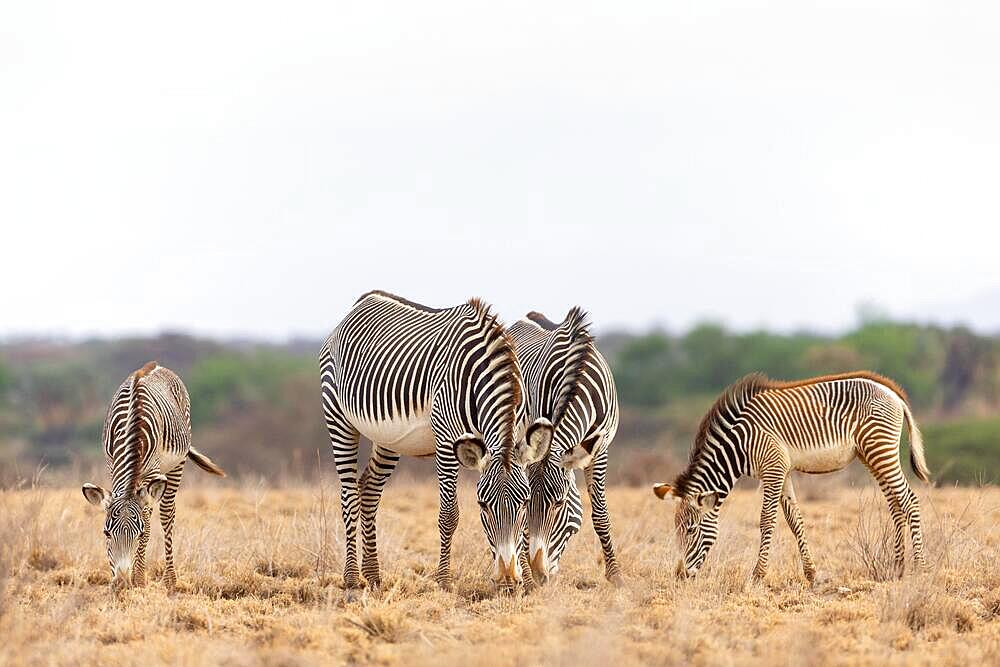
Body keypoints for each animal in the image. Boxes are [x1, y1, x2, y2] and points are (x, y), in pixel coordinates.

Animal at [81, 362, 226, 592]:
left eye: (138, 534)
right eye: (106, 534)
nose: (122, 584)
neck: (133, 426)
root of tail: (156, 364)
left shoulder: (152, 473)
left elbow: (148, 524)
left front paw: (139, 579)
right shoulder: (112, 464)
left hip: (177, 464)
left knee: (167, 515)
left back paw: (170, 581)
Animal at [318, 290, 552, 588]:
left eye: (524, 502)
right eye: (482, 505)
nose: (508, 578)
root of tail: (360, 303)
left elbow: (523, 526)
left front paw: (527, 582)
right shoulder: (446, 441)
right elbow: (449, 515)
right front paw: (444, 581)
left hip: (388, 439)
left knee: (368, 490)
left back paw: (373, 576)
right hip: (338, 418)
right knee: (348, 496)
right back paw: (350, 578)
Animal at [512, 308, 620, 584]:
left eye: (559, 503)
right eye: (528, 503)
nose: (539, 573)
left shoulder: (599, 449)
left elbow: (600, 514)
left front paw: (615, 575)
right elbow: (523, 523)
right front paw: (527, 575)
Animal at [656, 374, 928, 580]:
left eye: (690, 530)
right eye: (676, 530)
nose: (680, 575)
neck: (739, 444)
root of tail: (893, 392)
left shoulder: (773, 469)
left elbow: (767, 520)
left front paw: (757, 575)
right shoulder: (782, 470)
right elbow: (794, 520)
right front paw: (811, 574)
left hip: (880, 449)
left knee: (910, 501)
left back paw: (920, 569)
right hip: (869, 454)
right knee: (895, 504)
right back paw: (897, 568)